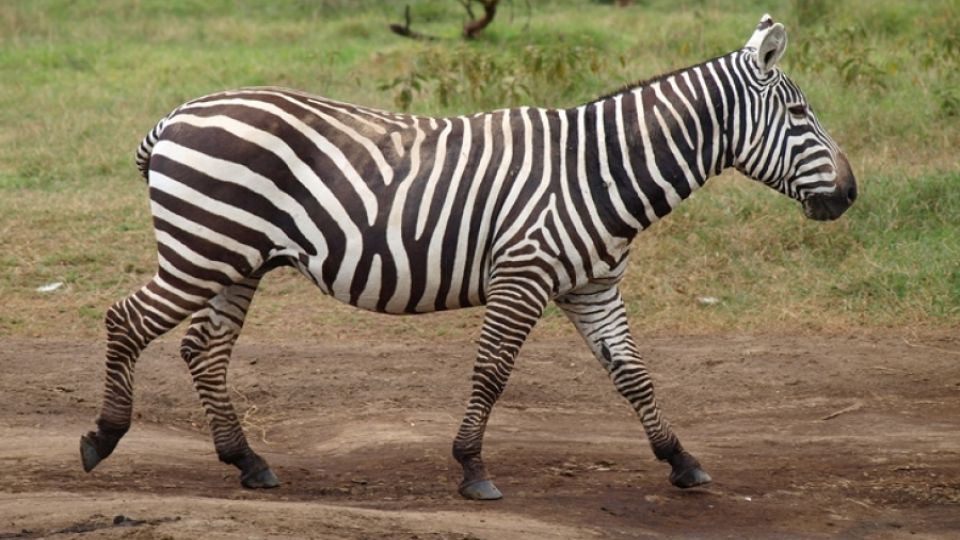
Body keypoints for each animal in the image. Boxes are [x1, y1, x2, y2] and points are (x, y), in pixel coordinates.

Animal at [80, 13, 856, 502]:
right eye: (800, 115)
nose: (850, 194)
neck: (598, 170)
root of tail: (175, 115)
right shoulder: (523, 275)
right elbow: (492, 372)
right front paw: (473, 469)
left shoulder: (593, 287)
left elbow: (634, 377)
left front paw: (682, 461)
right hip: (201, 248)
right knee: (126, 320)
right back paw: (104, 438)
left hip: (233, 259)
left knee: (203, 351)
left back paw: (247, 461)